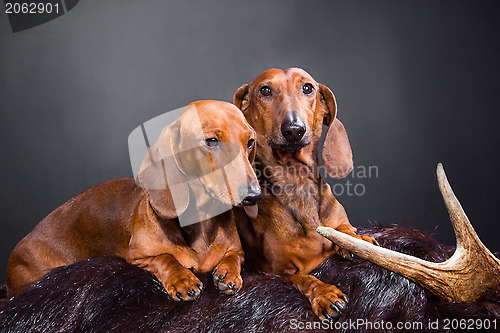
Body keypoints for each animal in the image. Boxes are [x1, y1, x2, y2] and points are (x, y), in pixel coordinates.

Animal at [6, 100, 262, 300]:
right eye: (211, 141)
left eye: (250, 142)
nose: (254, 195)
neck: (199, 223)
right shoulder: (139, 257)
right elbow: (165, 258)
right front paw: (183, 280)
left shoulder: (238, 252)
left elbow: (233, 257)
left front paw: (227, 274)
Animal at [234, 68, 378, 320]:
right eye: (265, 90)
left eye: (308, 88)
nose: (294, 129)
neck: (297, 182)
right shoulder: (274, 273)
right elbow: (302, 278)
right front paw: (325, 294)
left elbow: (344, 229)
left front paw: (357, 240)